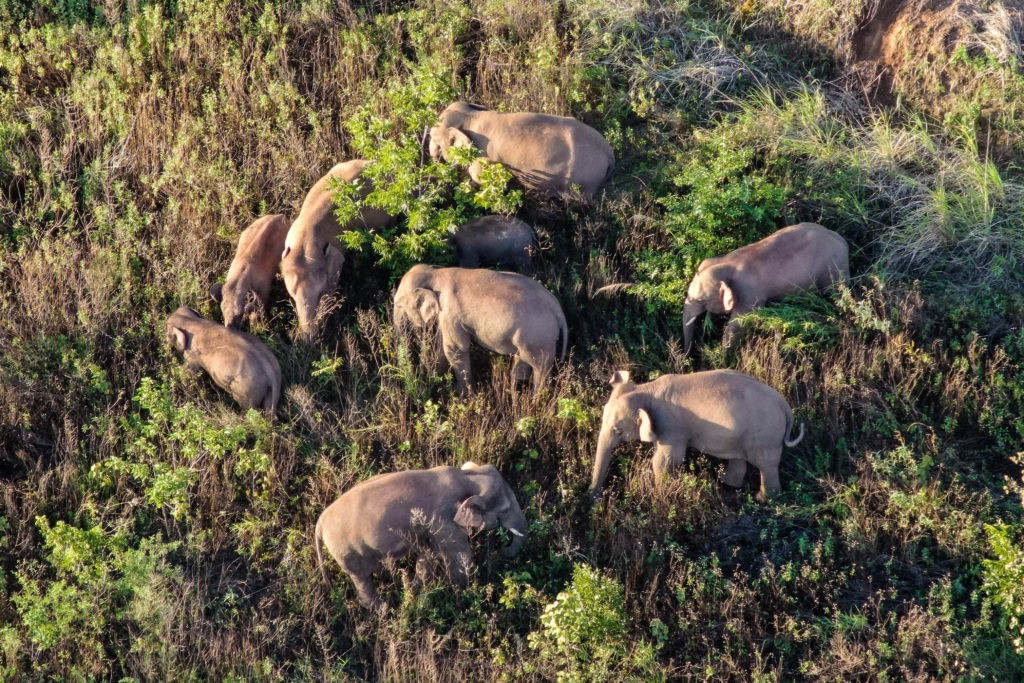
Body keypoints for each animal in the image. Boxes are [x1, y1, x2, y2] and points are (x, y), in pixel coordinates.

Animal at [314, 461, 527, 609]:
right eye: (504, 510)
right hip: (346, 551)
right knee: (362, 578)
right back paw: (384, 610)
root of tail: (319, 524)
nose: (502, 549)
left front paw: (416, 589)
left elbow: (429, 554)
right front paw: (464, 594)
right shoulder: (444, 519)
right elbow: (459, 556)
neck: (468, 477)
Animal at [392, 264, 568, 393]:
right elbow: (442, 347)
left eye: (399, 305)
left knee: (540, 368)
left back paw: (535, 400)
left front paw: (465, 395)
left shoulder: (450, 312)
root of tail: (558, 310)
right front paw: (436, 380)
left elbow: (455, 349)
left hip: (539, 337)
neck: (435, 272)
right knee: (522, 361)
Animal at [428, 102, 615, 201]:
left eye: (434, 137)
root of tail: (609, 153)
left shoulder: (482, 159)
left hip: (586, 180)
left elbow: (479, 178)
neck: (471, 115)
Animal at [589, 369, 804, 500]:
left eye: (617, 430)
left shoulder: (672, 426)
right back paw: (727, 483)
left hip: (765, 435)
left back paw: (763, 499)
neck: (647, 389)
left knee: (766, 465)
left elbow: (665, 461)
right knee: (738, 458)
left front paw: (661, 494)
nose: (593, 497)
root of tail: (785, 406)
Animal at [683, 222, 849, 354]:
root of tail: (842, 240)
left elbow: (738, 323)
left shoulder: (749, 293)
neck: (725, 262)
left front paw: (724, 357)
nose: (688, 357)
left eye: (701, 300)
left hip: (834, 270)